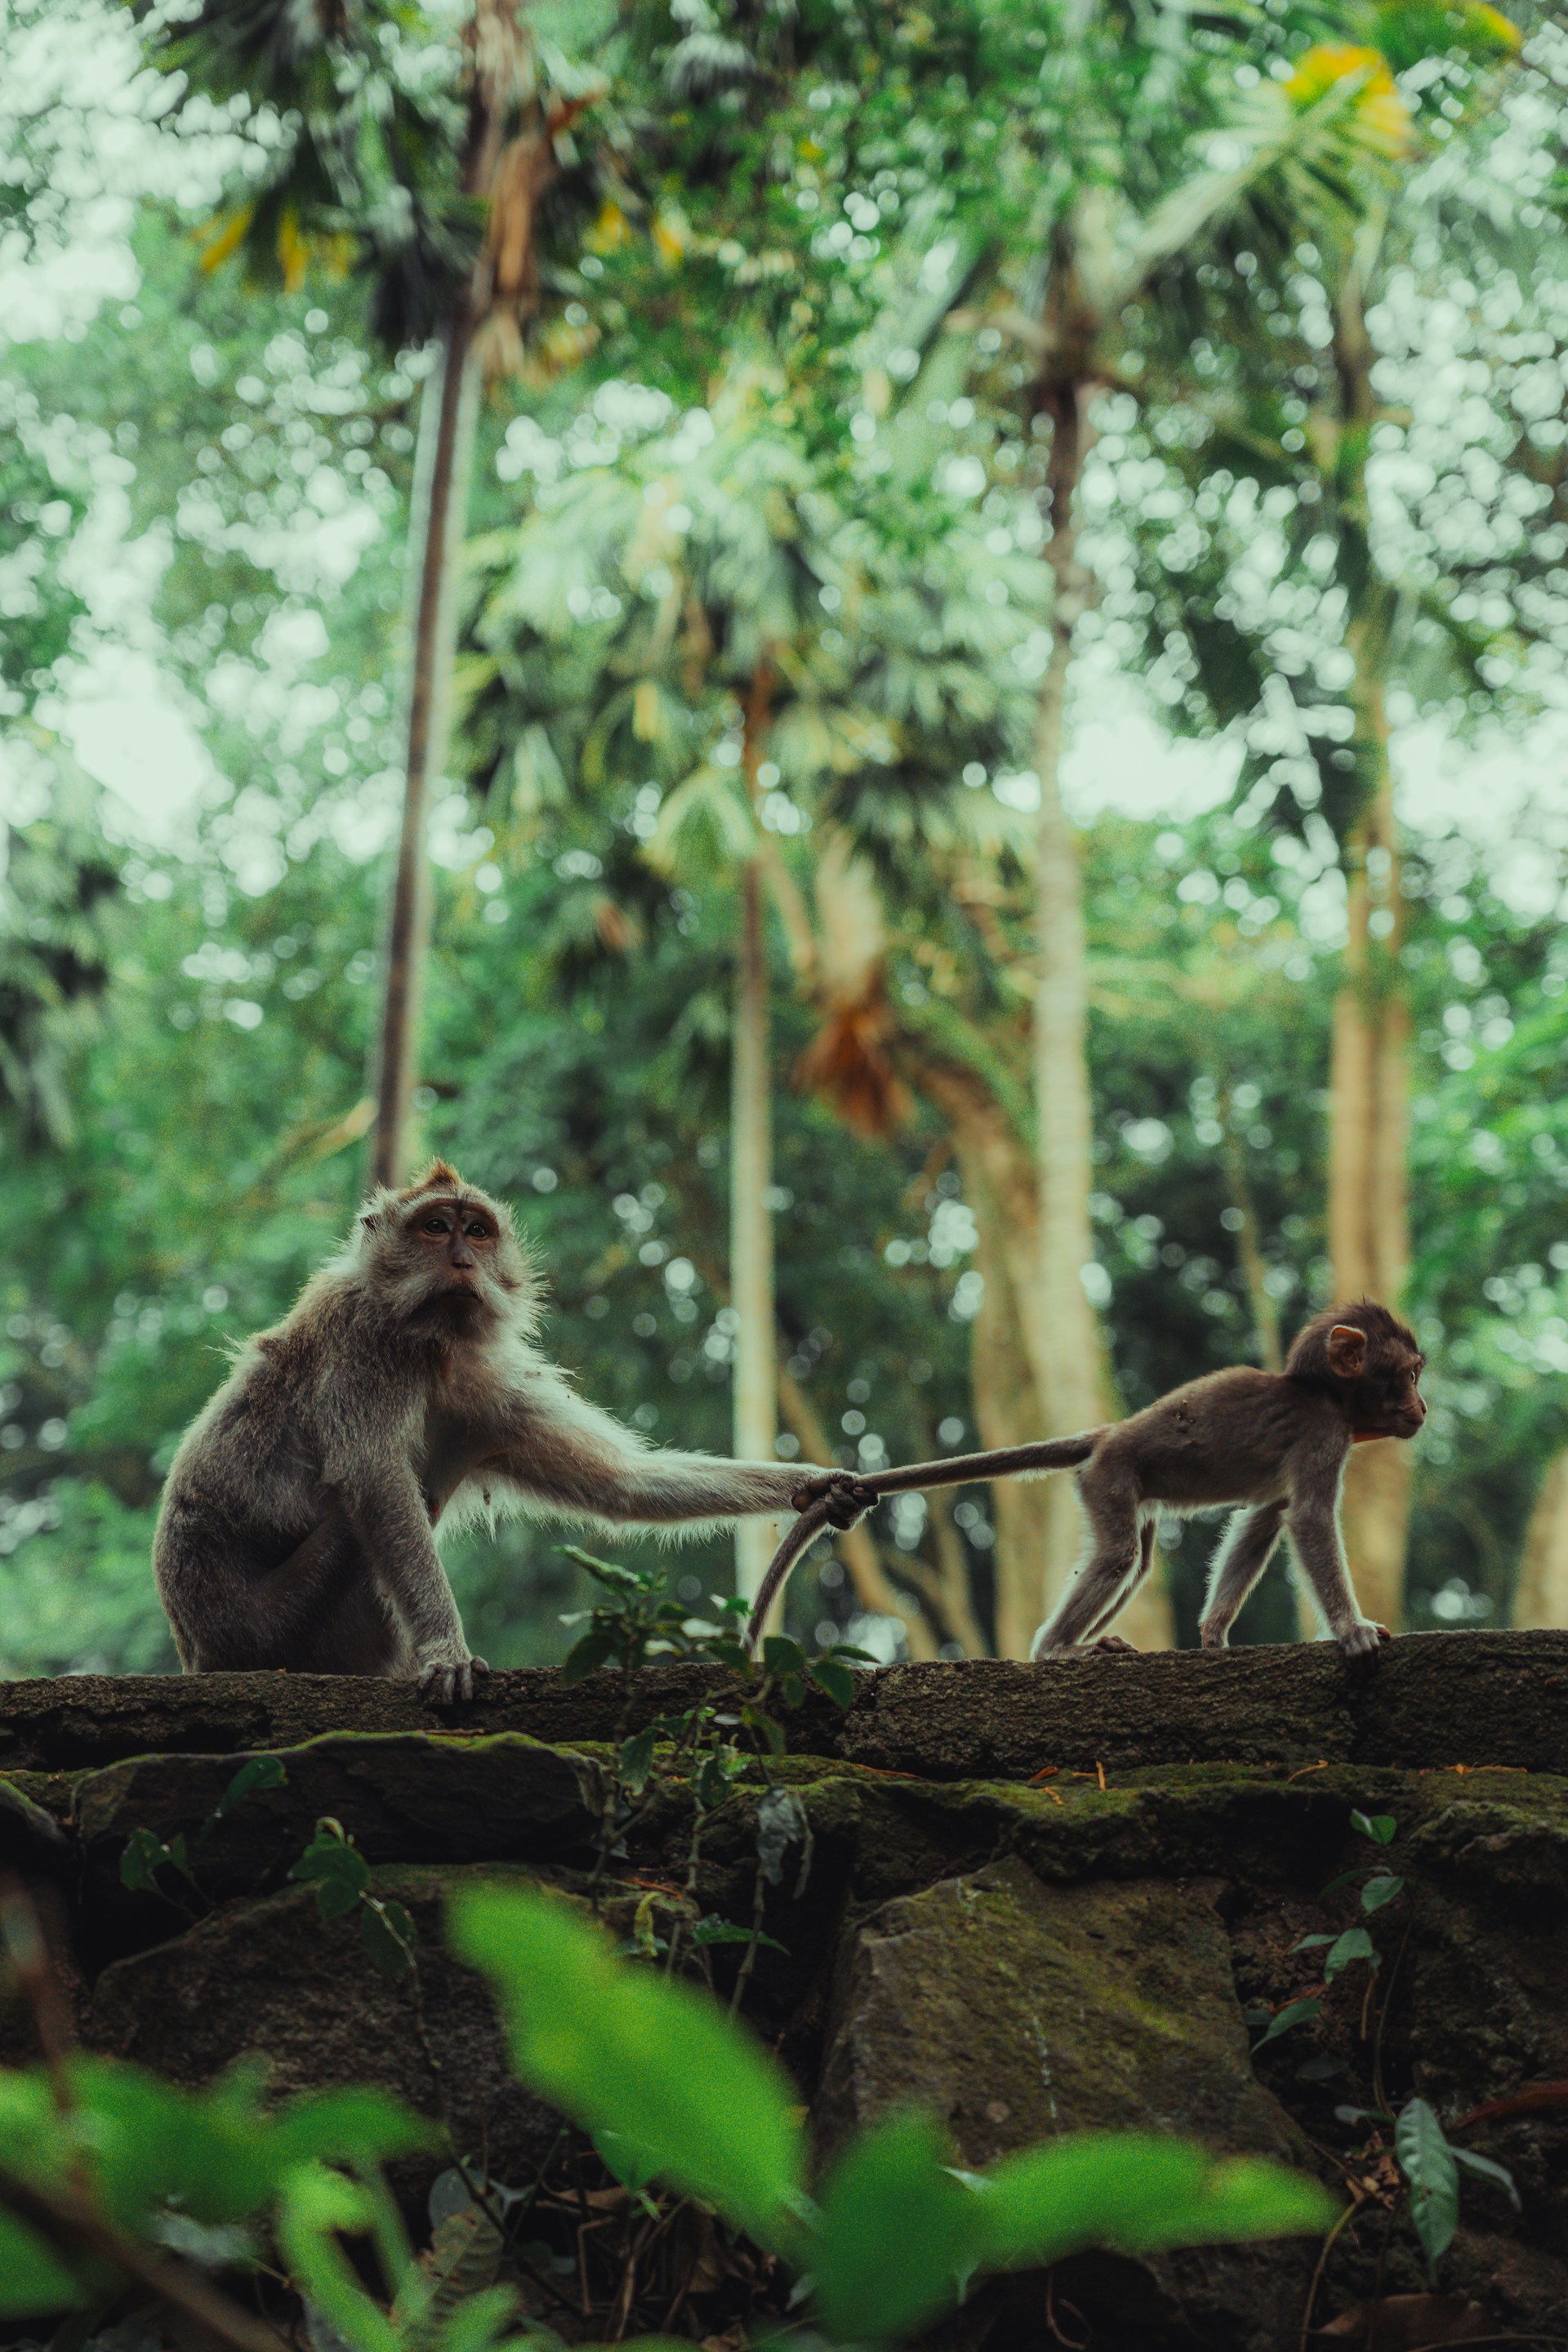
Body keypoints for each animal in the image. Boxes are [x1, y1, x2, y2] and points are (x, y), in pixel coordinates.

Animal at [153, 1161, 867, 1703]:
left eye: (477, 1231)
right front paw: (447, 1651)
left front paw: (818, 1487)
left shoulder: (489, 1393)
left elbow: (623, 1483)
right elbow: (375, 1479)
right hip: (268, 1626)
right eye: (435, 1227)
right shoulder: (363, 1341)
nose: (463, 1261)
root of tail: (196, 1650)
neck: (434, 1344)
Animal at [1024, 1299, 1427, 1664]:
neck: (1323, 1393)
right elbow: (1309, 1517)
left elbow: (1262, 1521)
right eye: (1410, 1376)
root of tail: (1109, 1434)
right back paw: (1055, 1648)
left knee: (1136, 1565)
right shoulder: (1325, 1435)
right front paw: (1351, 1629)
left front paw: (1214, 1632)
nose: (1423, 1406)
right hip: (1109, 1475)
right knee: (1117, 1556)